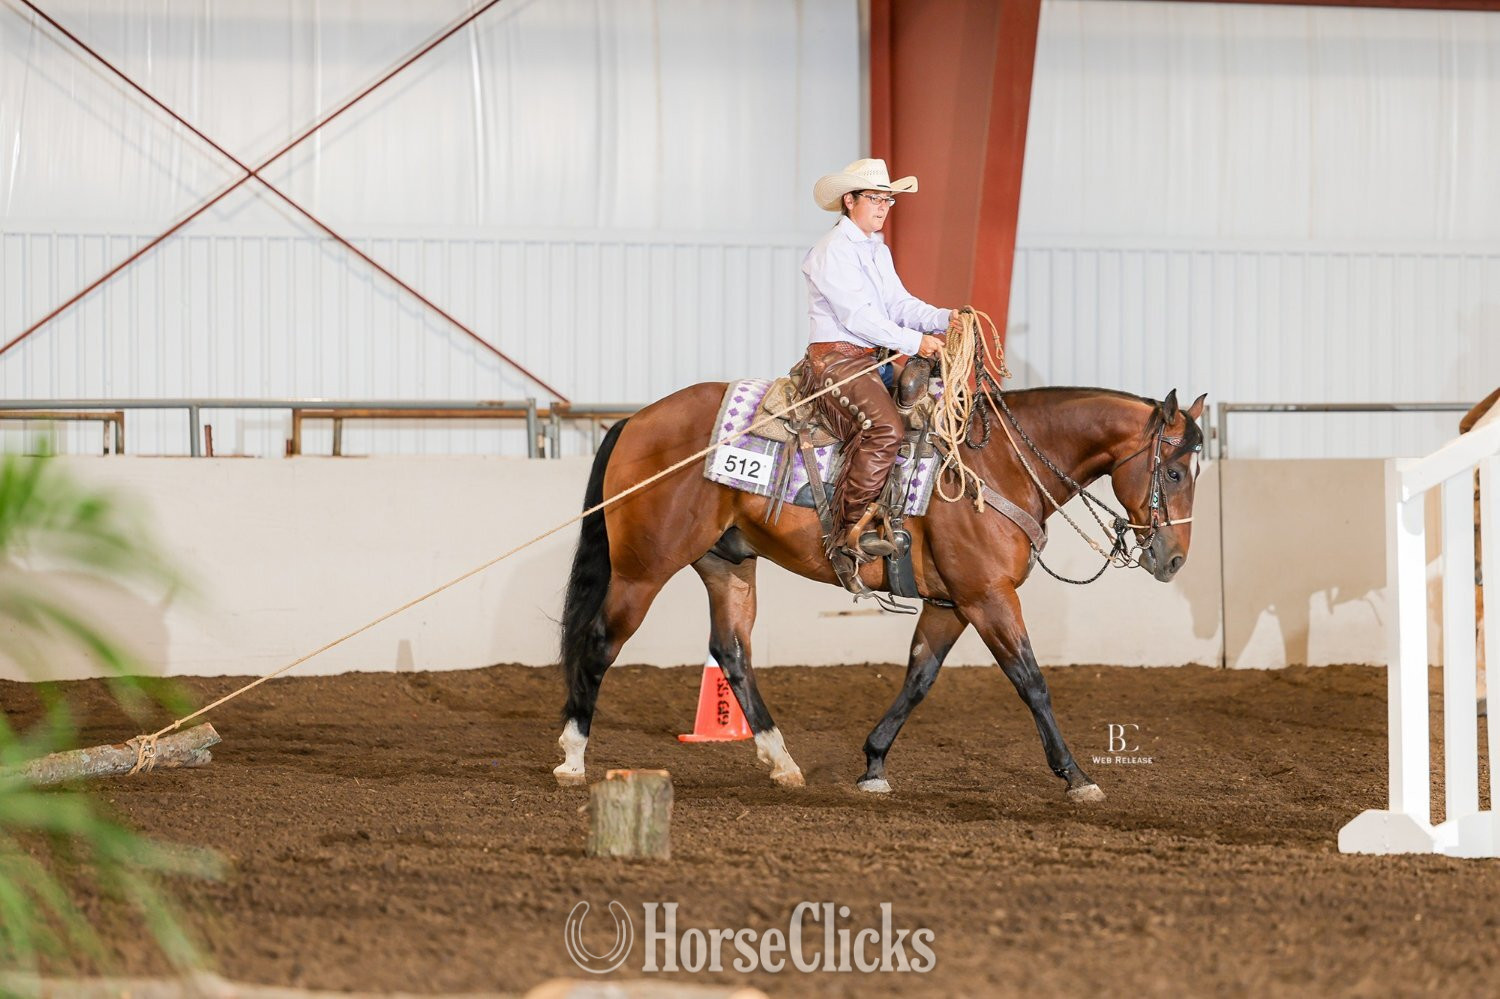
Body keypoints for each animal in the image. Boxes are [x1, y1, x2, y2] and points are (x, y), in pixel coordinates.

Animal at [553, 380, 1208, 801]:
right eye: (1174, 471)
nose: (1174, 559)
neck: (997, 465)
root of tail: (636, 421)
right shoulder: (989, 598)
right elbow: (1031, 681)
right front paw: (1076, 776)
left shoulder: (952, 603)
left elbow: (919, 678)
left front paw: (873, 763)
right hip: (643, 568)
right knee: (601, 642)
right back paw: (573, 754)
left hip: (727, 563)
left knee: (732, 652)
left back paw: (782, 762)